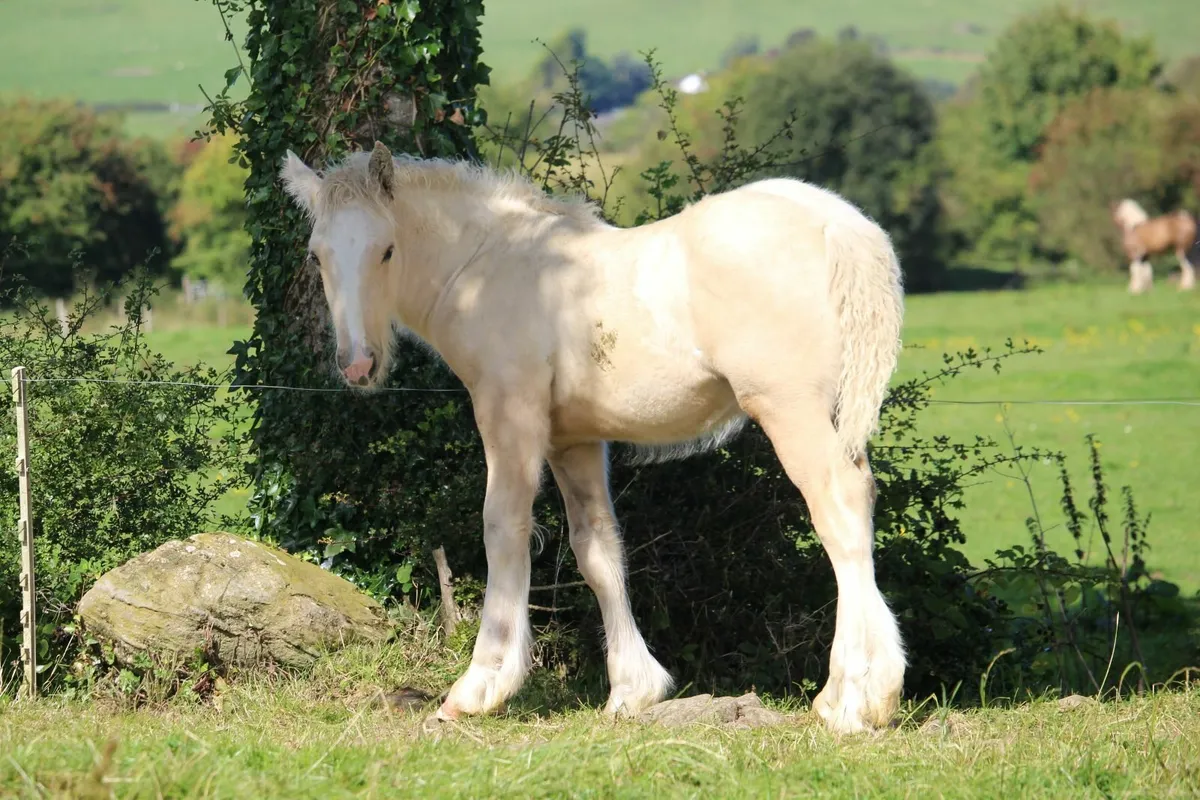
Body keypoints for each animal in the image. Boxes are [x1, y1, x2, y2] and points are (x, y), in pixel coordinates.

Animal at [276, 142, 902, 734]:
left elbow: (503, 528)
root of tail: (837, 224)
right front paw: (632, 691)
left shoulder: (510, 415)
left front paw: (480, 687)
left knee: (839, 512)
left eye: (386, 249)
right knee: (860, 501)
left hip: (790, 410)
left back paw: (851, 699)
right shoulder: (571, 441)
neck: (489, 267)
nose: (358, 365)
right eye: (316, 254)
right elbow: (597, 549)